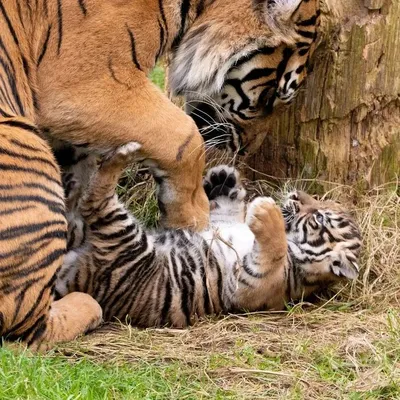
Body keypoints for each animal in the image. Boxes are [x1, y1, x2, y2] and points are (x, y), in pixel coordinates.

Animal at [54, 145, 360, 326]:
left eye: (319, 218)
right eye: (320, 203)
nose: (296, 195)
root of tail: (73, 276)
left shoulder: (249, 287)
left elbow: (273, 253)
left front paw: (265, 211)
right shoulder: (220, 225)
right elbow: (227, 212)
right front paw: (223, 180)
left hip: (126, 247)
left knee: (96, 200)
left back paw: (122, 156)